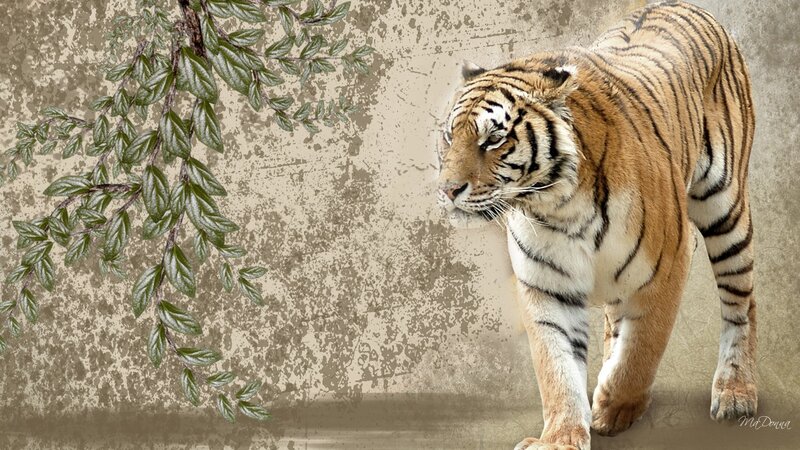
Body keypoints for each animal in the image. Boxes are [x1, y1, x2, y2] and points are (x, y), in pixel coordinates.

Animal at [436, 2, 756, 449]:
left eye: (493, 140)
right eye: (450, 137)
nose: (447, 190)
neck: (558, 205)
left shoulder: (666, 266)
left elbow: (642, 348)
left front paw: (614, 406)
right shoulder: (546, 286)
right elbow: (556, 369)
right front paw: (561, 437)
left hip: (725, 211)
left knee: (741, 303)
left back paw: (735, 392)